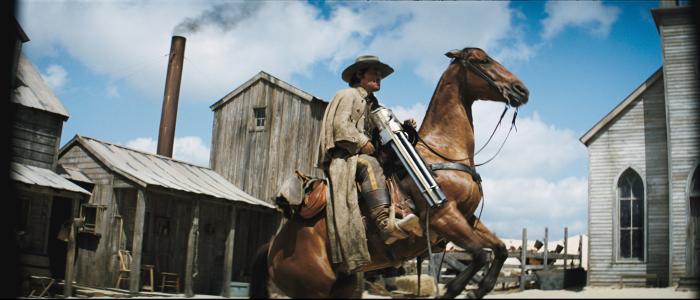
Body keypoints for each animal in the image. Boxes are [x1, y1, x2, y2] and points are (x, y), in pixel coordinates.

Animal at [252, 48, 532, 298]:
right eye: (482, 60)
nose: (521, 90)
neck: (445, 153)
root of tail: (272, 247)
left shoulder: (468, 217)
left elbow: (499, 249)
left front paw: (479, 289)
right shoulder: (444, 215)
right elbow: (480, 254)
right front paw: (454, 289)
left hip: (343, 287)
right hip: (313, 292)